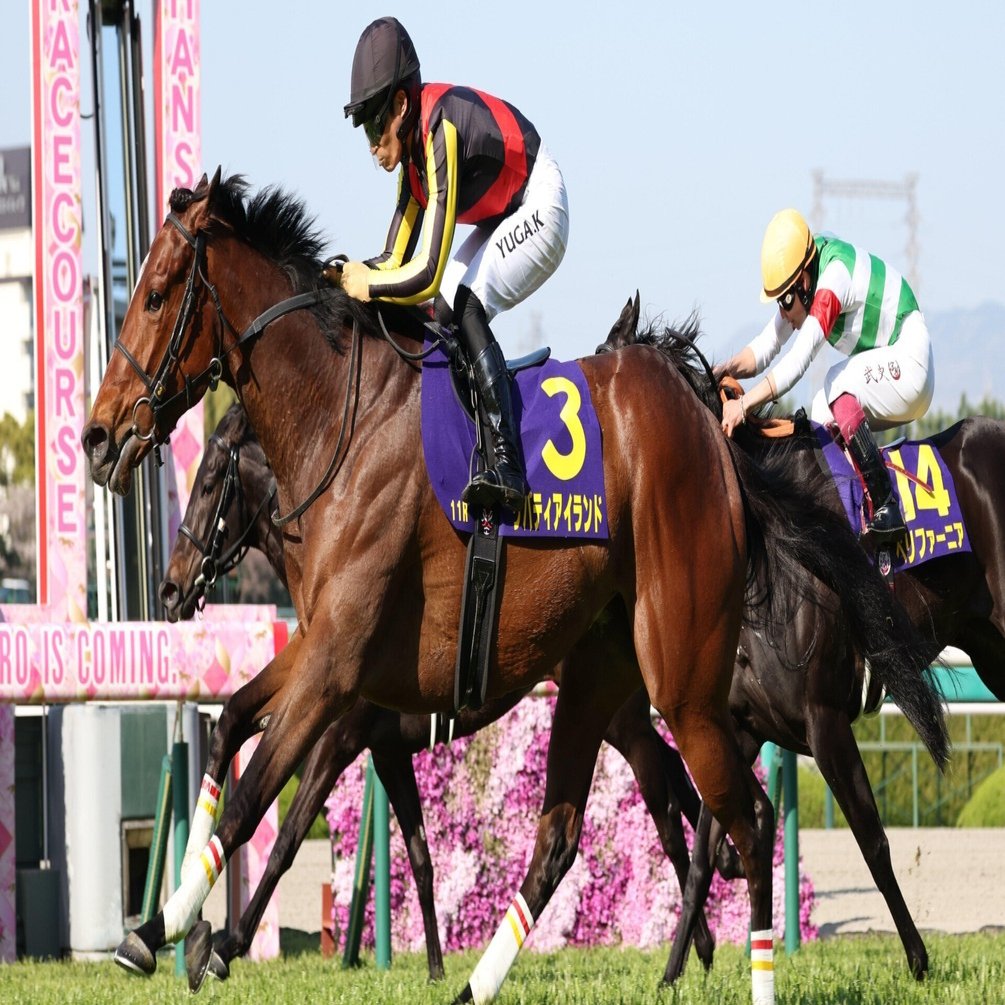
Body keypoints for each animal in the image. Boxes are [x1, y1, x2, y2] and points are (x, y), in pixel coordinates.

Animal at [161, 399, 738, 981]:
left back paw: (701, 932)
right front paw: (436, 966)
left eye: (207, 484)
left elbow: (287, 839)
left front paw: (226, 943)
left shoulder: (335, 738)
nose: (170, 587)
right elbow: (419, 855)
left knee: (666, 804)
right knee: (674, 770)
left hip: (620, 716)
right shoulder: (386, 749)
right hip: (622, 712)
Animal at [609, 317, 995, 982]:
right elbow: (706, 856)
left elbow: (872, 839)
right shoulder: (734, 726)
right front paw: (672, 972)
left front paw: (919, 959)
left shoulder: (825, 721)